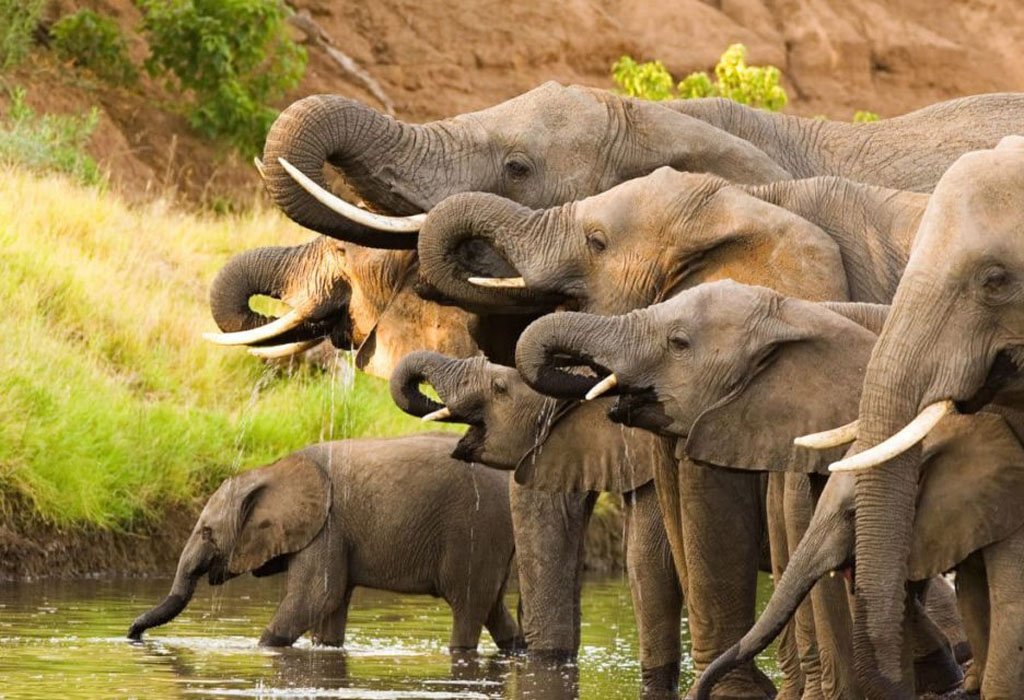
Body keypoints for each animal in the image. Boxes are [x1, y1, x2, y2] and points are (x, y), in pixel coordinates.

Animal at [127, 434, 520, 652]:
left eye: (207, 532)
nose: (131, 634)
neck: (272, 470)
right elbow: (330, 606)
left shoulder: (327, 527)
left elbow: (316, 596)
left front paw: (260, 647)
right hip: (493, 538)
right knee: (493, 607)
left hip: (476, 530)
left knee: (468, 607)